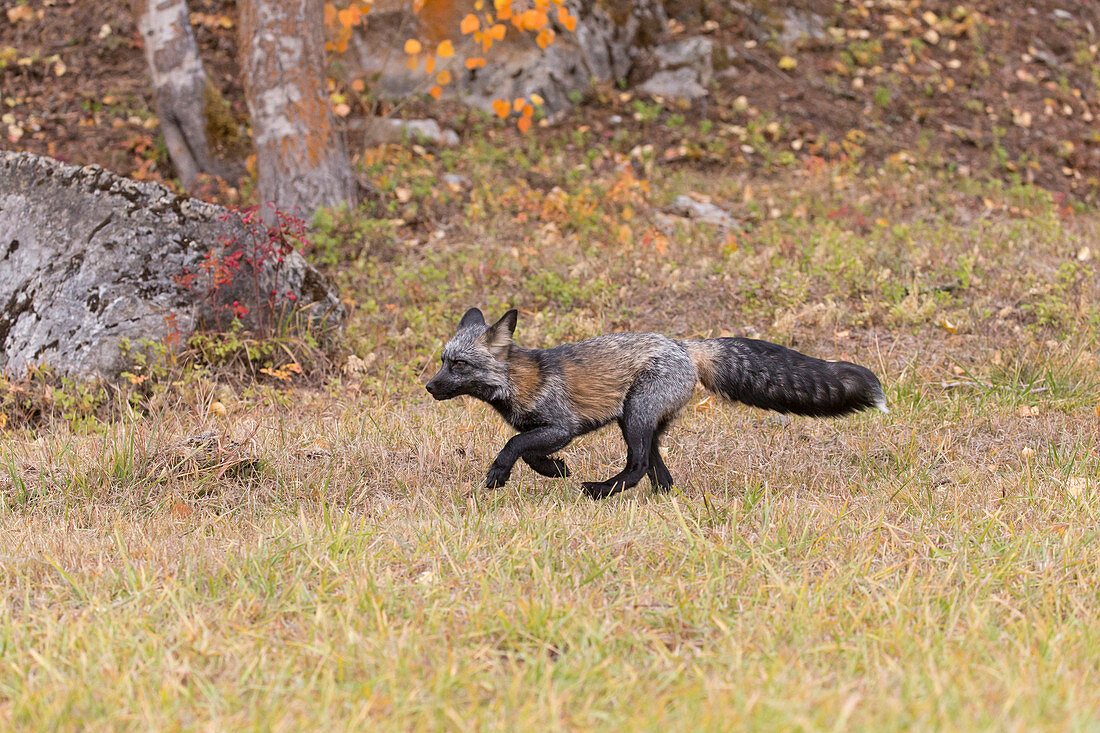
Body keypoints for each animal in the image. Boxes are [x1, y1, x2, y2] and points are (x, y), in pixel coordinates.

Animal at [424, 305, 888, 499]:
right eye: (443, 361)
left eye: (459, 365)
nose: (429, 387)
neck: (517, 381)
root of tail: (685, 345)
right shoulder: (548, 430)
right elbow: (531, 451)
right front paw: (556, 469)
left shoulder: (561, 425)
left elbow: (515, 445)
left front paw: (500, 474)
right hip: (642, 423)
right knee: (658, 472)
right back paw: (659, 498)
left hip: (635, 416)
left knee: (637, 467)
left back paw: (600, 491)